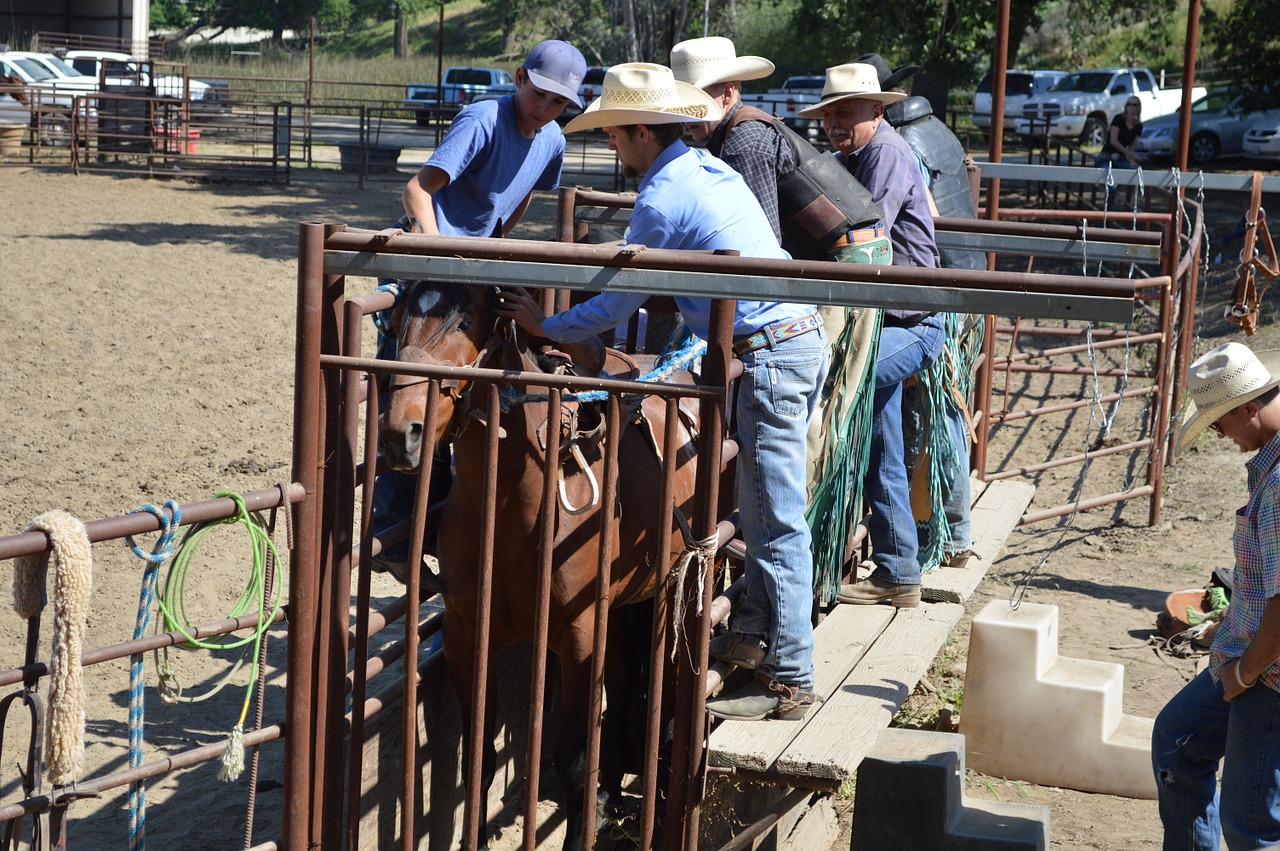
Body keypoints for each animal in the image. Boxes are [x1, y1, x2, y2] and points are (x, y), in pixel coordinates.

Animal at [378, 280, 701, 849]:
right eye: (395, 322)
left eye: (466, 321)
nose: (401, 433)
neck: (515, 501)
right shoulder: (466, 633)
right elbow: (478, 757)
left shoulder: (578, 637)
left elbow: (571, 760)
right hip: (623, 608)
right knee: (623, 692)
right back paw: (609, 795)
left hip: (669, 596)